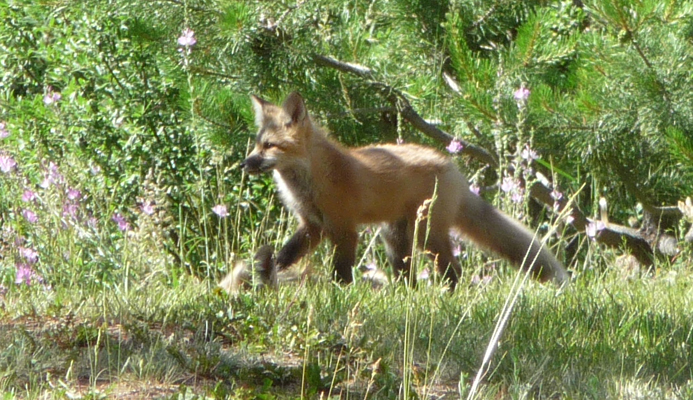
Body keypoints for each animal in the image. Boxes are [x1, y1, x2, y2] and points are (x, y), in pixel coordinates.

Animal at [242, 92, 568, 286]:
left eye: (269, 146)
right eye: (257, 144)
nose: (245, 163)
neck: (310, 181)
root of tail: (452, 168)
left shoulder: (344, 228)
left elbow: (341, 272)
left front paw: (339, 292)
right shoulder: (313, 226)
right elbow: (286, 254)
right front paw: (266, 273)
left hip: (426, 234)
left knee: (453, 271)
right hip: (395, 239)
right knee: (408, 276)